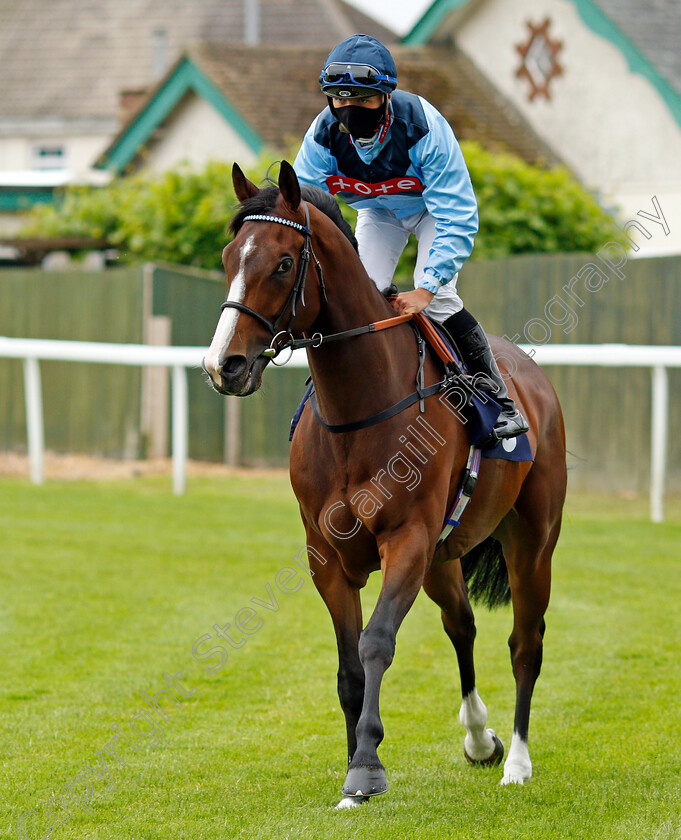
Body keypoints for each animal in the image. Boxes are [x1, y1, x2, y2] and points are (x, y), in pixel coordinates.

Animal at [203, 159, 568, 808]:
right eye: (228, 257)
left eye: (283, 263)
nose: (226, 366)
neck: (359, 410)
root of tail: (529, 374)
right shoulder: (327, 555)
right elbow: (350, 665)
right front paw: (352, 768)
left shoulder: (407, 540)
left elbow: (376, 643)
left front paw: (367, 769)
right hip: (446, 556)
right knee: (462, 625)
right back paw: (480, 739)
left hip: (530, 542)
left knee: (525, 643)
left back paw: (518, 762)